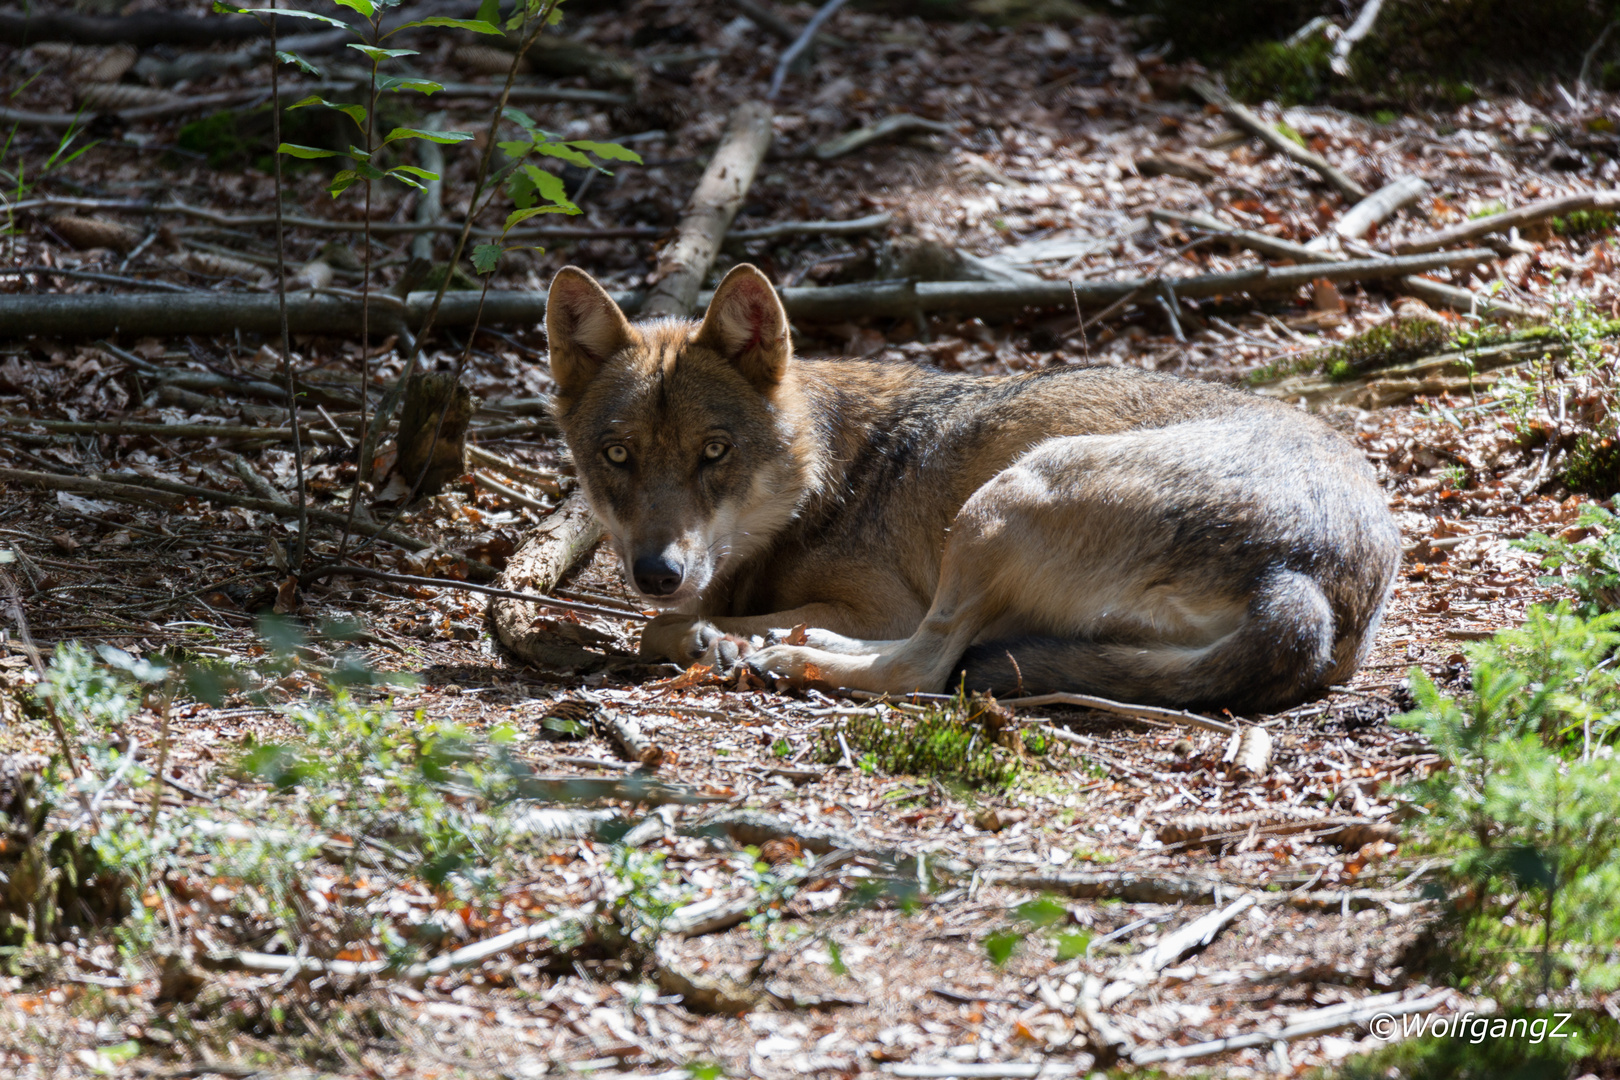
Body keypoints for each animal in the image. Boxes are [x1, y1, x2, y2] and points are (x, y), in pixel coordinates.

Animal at [547, 265, 1406, 712]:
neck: (824, 478)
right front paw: (714, 632)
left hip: (1000, 500)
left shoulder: (882, 601)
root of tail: (1301, 583)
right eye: (617, 456)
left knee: (921, 669)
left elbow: (659, 628)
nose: (656, 572)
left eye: (714, 452)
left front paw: (711, 636)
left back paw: (794, 655)